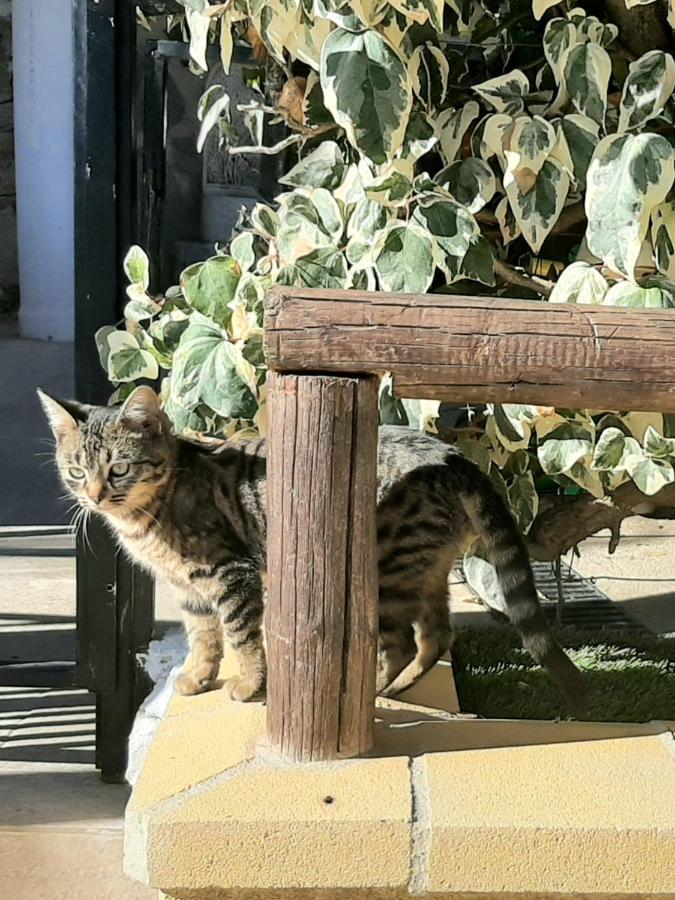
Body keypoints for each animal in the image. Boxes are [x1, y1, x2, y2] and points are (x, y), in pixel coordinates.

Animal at [39, 384, 584, 712]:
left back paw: (377, 693)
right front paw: (197, 677)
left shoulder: (231, 572)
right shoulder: (191, 588)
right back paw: (400, 689)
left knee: (404, 644)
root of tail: (452, 454)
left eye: (120, 469)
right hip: (425, 569)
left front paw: (247, 686)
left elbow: (240, 636)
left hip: (384, 572)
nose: (94, 496)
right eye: (76, 471)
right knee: (436, 637)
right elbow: (203, 638)